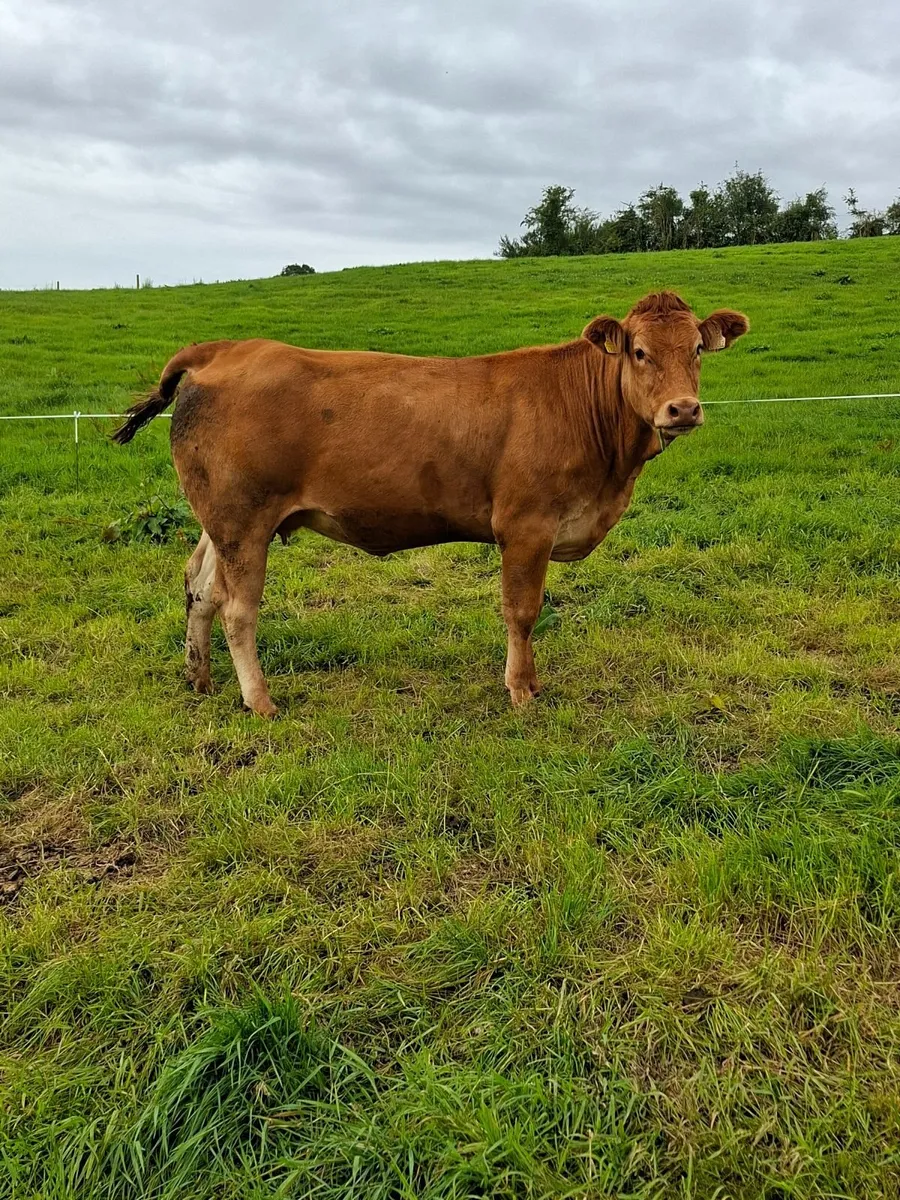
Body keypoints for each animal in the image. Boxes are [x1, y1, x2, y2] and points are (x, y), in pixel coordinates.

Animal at [113, 291, 748, 717]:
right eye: (638, 351)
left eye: (697, 348)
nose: (682, 409)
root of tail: (223, 348)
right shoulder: (527, 526)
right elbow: (522, 611)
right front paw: (522, 691)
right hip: (245, 521)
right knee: (237, 609)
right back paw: (260, 701)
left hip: (221, 522)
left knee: (199, 587)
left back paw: (201, 680)